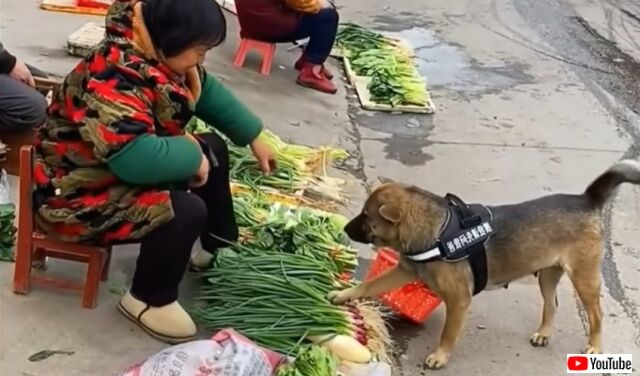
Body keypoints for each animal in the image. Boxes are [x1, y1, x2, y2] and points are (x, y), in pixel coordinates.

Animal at [330, 160, 640, 368]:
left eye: (366, 216)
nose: (344, 228)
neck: (436, 231)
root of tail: (587, 200)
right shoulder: (404, 270)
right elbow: (369, 285)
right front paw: (344, 294)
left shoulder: (459, 301)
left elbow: (448, 333)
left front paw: (441, 356)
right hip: (548, 275)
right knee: (551, 304)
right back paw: (544, 333)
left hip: (584, 278)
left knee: (596, 313)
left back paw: (595, 345)